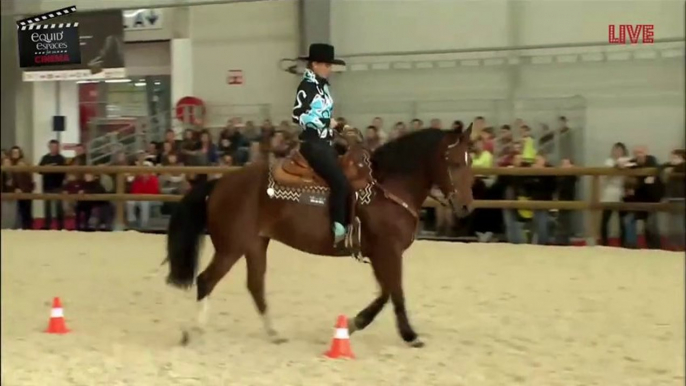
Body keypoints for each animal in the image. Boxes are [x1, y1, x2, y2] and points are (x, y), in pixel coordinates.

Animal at [169, 123, 476, 346]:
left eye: (470, 160)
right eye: (454, 162)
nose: (465, 206)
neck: (388, 188)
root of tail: (220, 183)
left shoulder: (380, 255)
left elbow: (386, 292)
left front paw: (352, 324)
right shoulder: (387, 252)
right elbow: (395, 292)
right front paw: (409, 335)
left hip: (255, 244)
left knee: (255, 286)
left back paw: (275, 333)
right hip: (231, 247)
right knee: (206, 281)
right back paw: (191, 332)